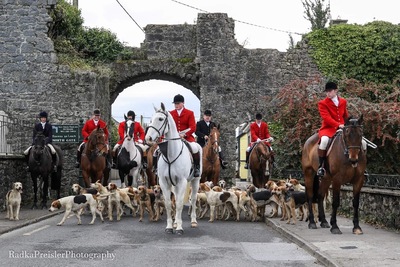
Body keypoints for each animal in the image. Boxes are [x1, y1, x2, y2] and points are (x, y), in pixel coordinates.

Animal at [145, 102, 202, 234]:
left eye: (160, 119)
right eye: (150, 120)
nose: (148, 139)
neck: (171, 154)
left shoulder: (182, 181)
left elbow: (180, 203)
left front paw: (180, 228)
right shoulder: (164, 181)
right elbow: (168, 204)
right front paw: (170, 226)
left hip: (195, 180)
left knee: (193, 199)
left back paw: (193, 221)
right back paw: (175, 222)